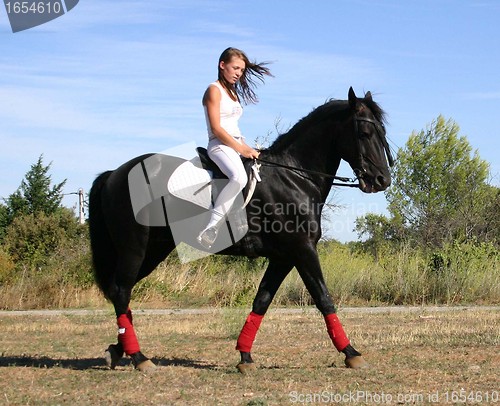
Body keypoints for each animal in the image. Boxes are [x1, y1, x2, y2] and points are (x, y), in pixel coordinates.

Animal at [90, 87, 394, 372]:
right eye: (365, 132)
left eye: (382, 132)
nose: (382, 180)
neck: (294, 176)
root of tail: (115, 174)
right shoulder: (303, 250)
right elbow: (323, 298)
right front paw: (351, 353)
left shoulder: (283, 257)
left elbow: (262, 301)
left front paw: (245, 356)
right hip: (135, 248)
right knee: (121, 290)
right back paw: (139, 357)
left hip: (153, 250)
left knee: (121, 292)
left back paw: (119, 350)